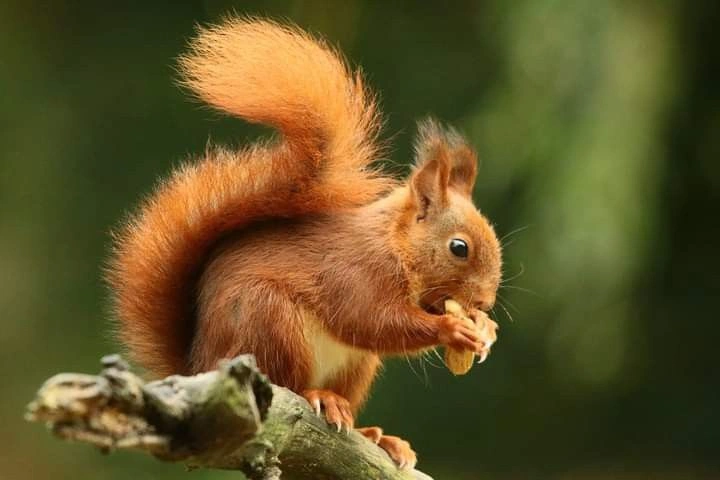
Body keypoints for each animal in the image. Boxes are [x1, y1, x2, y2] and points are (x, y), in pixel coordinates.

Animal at [106, 17, 502, 469]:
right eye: (459, 247)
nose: (486, 301)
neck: (394, 245)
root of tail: (200, 367)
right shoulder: (355, 273)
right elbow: (372, 321)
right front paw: (451, 327)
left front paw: (485, 327)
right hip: (269, 321)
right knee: (289, 382)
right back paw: (319, 397)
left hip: (354, 365)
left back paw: (375, 435)